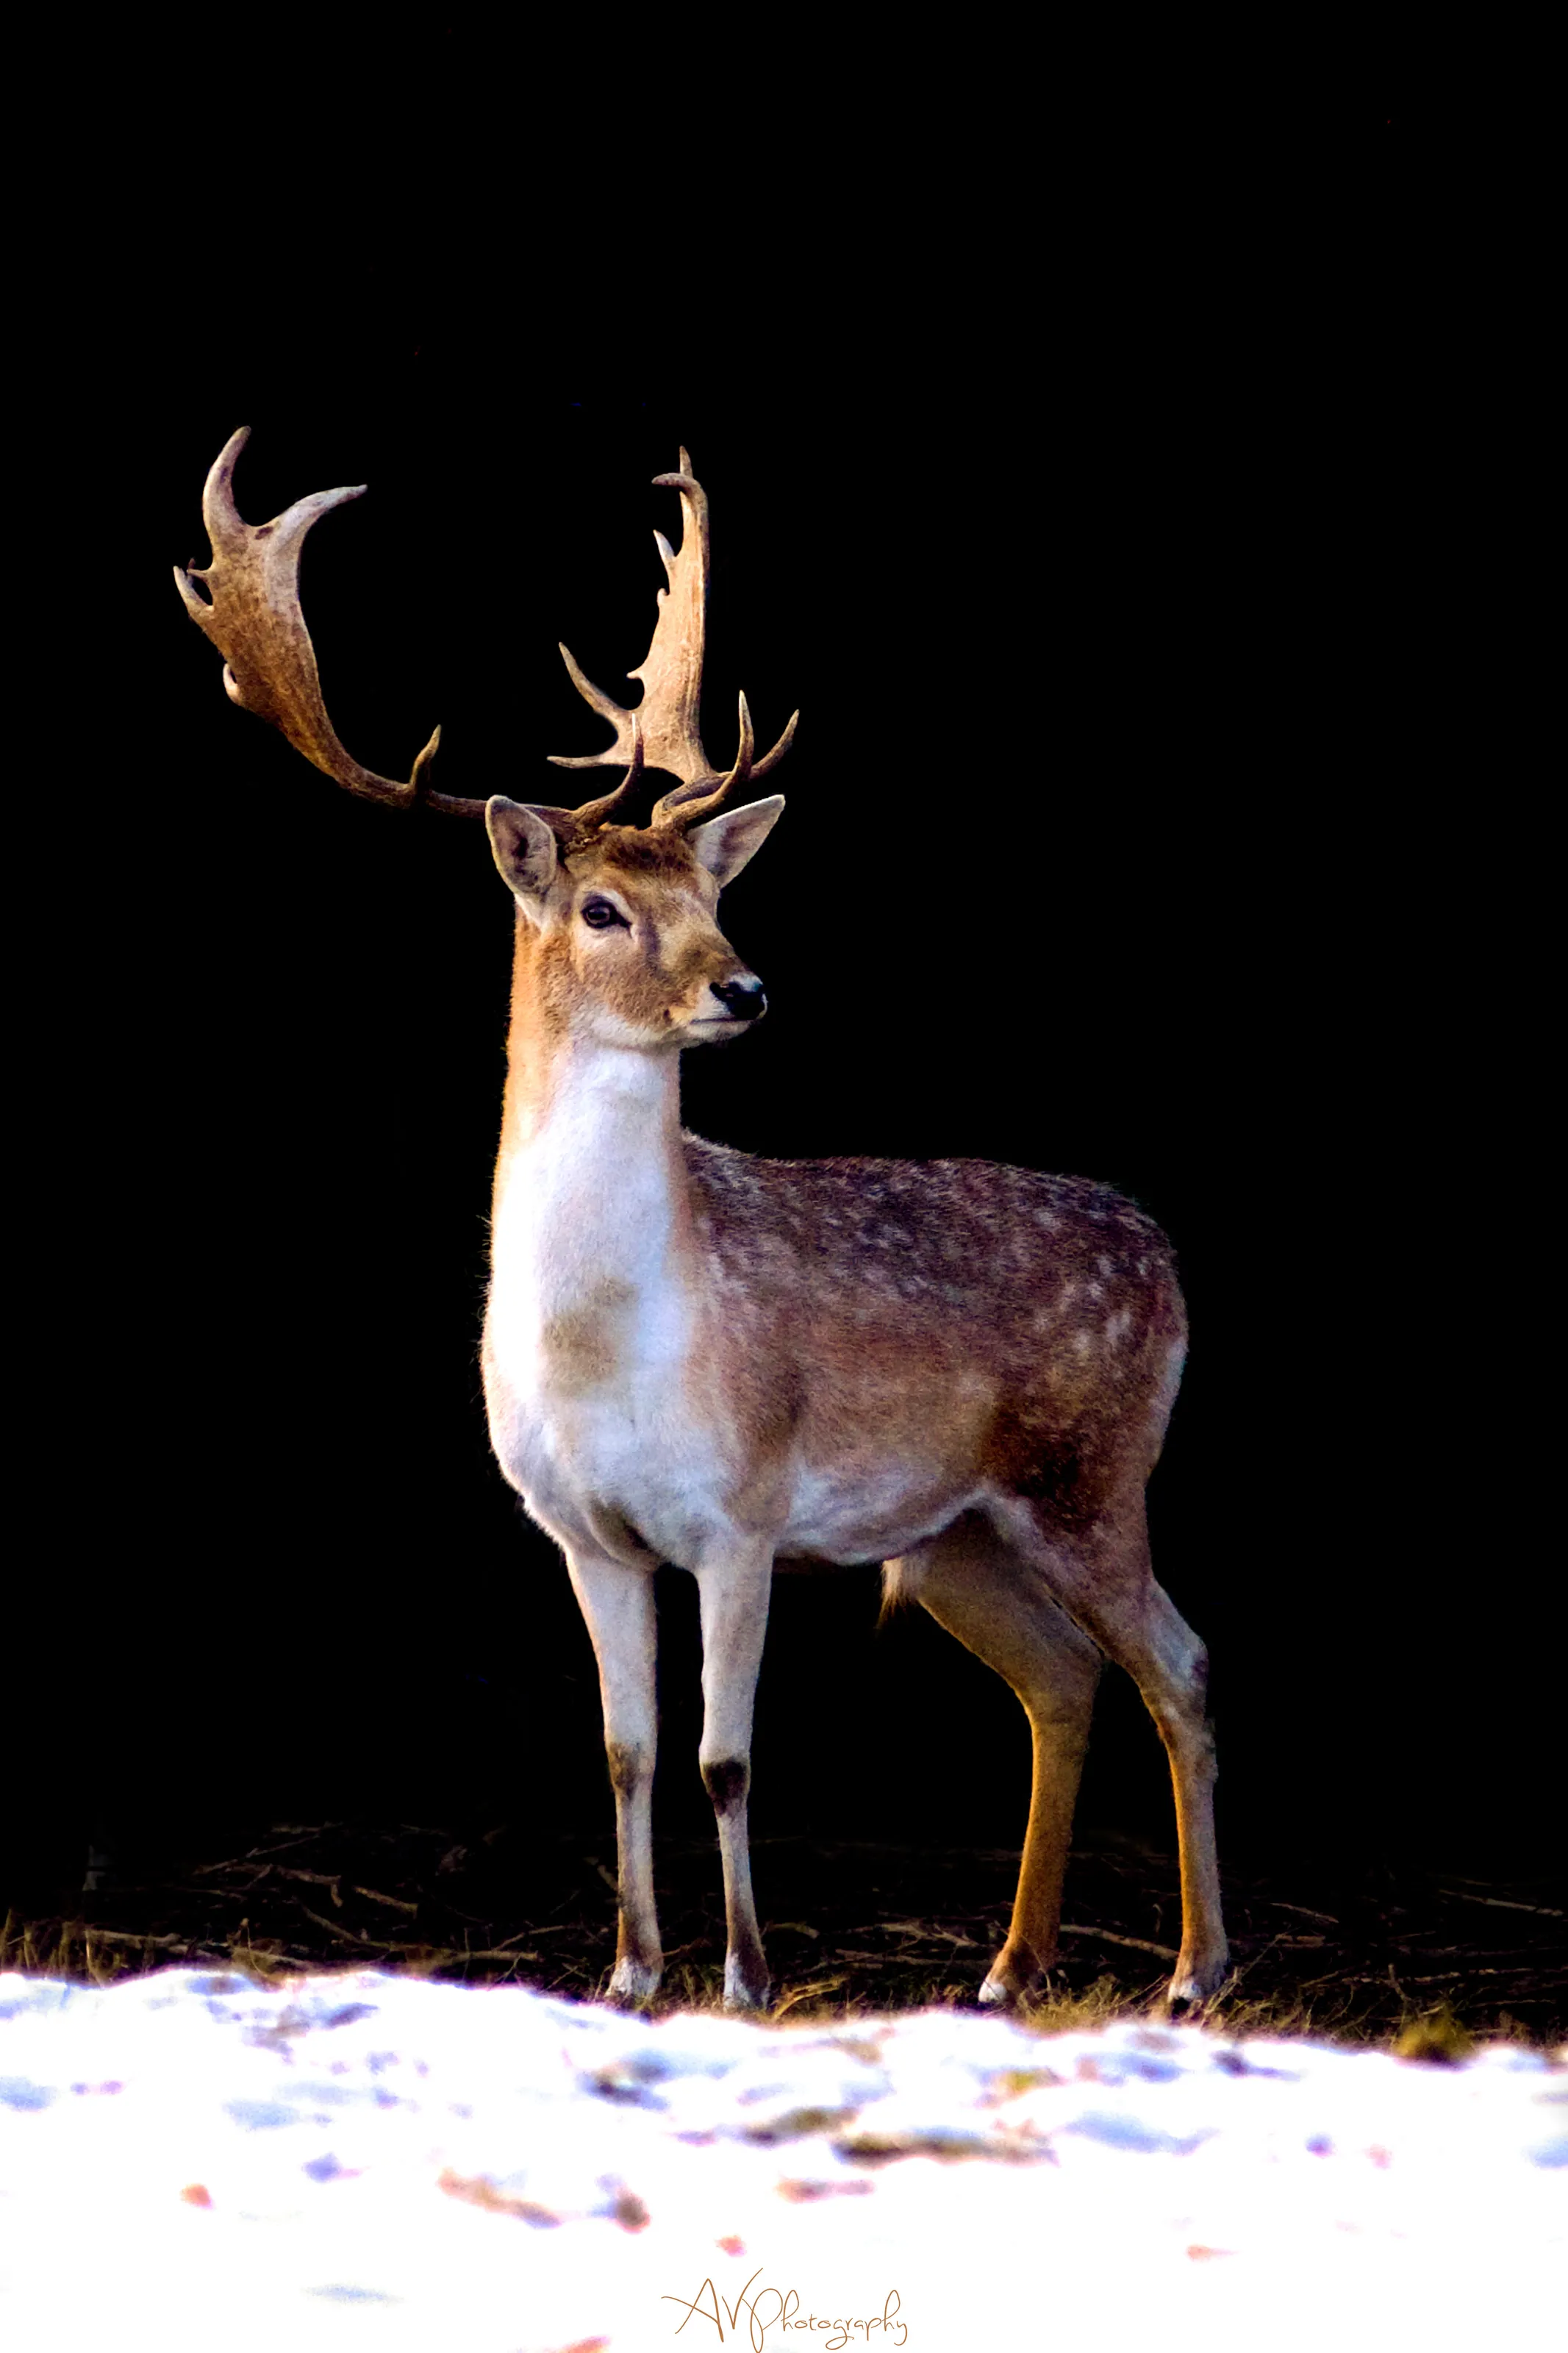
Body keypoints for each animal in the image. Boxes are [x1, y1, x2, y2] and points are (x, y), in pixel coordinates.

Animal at [175, 430, 1229, 2014]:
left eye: (713, 887)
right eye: (603, 908)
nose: (745, 987)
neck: (606, 1348)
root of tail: (1160, 1248)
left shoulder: (743, 1514)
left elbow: (728, 1760)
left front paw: (741, 1976)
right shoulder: (581, 1532)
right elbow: (623, 1751)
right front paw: (627, 1973)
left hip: (1091, 1468)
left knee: (1179, 1659)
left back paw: (1189, 1972)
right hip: (958, 1529)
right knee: (1062, 1675)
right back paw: (1005, 1969)